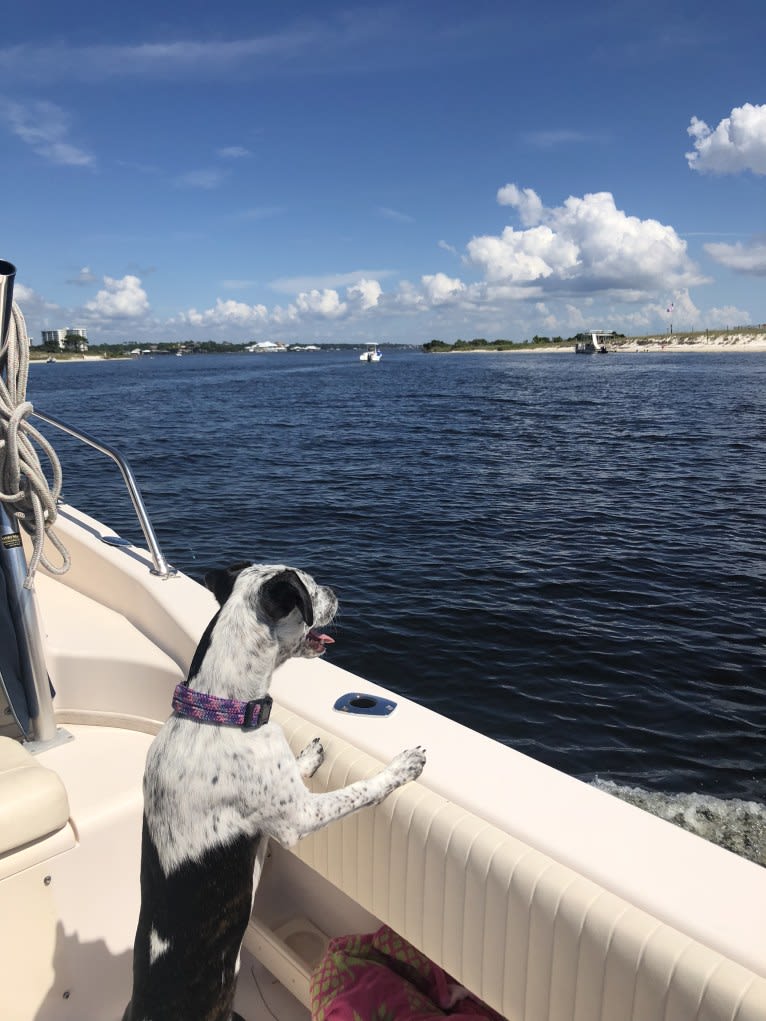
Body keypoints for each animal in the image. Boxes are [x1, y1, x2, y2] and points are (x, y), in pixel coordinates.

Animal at [123, 563, 428, 1021]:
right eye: (310, 586)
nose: (335, 591)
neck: (221, 710)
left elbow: (293, 771)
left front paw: (308, 755)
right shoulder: (299, 819)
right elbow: (358, 790)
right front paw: (401, 767)